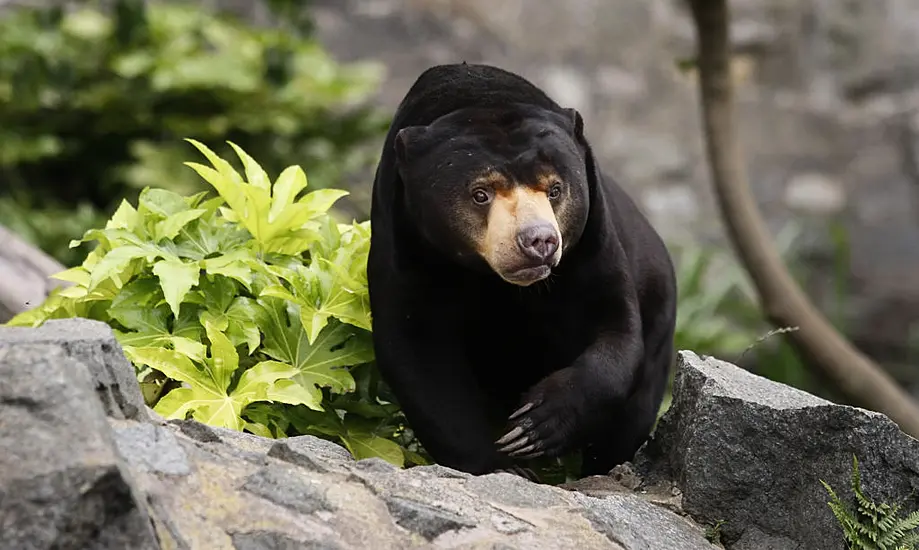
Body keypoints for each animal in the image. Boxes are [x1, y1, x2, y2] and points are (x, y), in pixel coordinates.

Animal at [364, 62, 676, 480]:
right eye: (481, 194)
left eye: (555, 189)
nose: (538, 240)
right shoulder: (404, 244)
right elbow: (417, 355)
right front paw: (502, 464)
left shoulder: (593, 242)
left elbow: (616, 331)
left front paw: (534, 426)